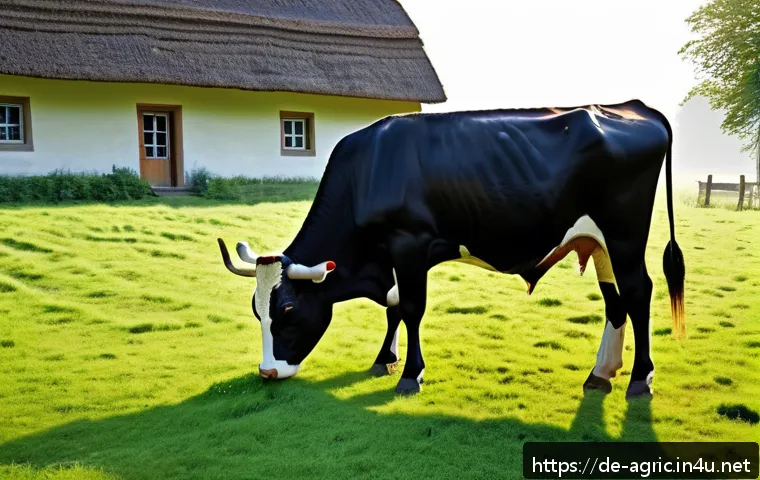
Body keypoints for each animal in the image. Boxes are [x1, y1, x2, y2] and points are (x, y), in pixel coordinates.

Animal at [217, 99, 685, 399]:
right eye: (256, 310)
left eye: (288, 310)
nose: (267, 371)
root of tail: (635, 106)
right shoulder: (391, 256)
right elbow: (394, 308)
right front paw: (384, 359)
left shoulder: (409, 244)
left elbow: (410, 309)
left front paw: (410, 376)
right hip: (599, 242)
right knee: (615, 300)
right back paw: (601, 373)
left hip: (624, 237)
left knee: (638, 292)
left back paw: (639, 380)